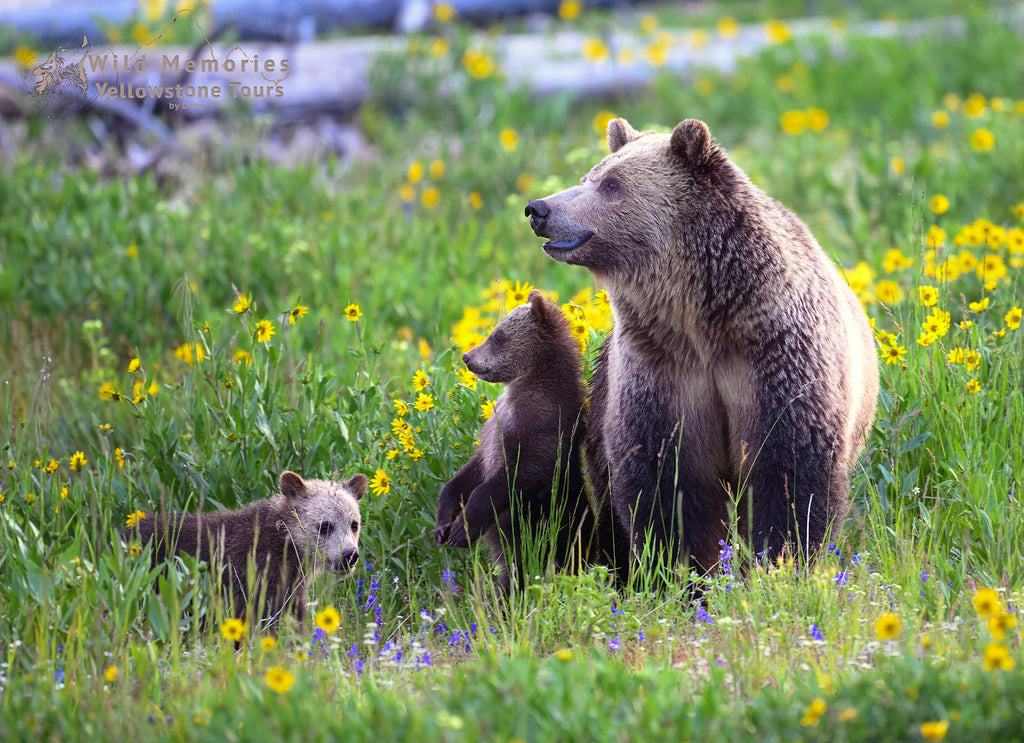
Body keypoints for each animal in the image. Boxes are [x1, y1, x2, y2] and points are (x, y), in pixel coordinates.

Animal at [524, 116, 876, 577]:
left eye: (611, 184)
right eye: (589, 176)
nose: (539, 209)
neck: (703, 318)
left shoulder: (778, 356)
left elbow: (791, 471)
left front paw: (780, 562)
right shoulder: (662, 367)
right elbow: (667, 480)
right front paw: (684, 570)